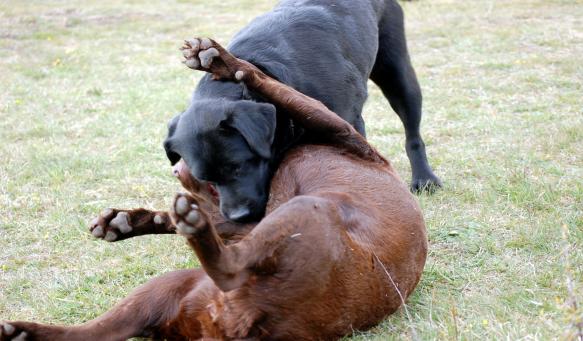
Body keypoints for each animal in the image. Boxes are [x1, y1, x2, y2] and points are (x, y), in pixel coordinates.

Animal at [1, 38, 428, 338]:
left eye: (237, 166)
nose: (182, 168)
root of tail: (241, 318)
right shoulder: (249, 216)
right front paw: (132, 220)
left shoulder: (327, 126)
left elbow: (269, 83)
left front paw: (224, 61)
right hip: (170, 291)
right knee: (94, 333)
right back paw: (23, 332)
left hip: (306, 213)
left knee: (230, 265)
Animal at [162, 0, 440, 222]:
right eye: (206, 179)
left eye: (238, 166)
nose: (238, 217)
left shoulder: (349, 121)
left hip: (397, 74)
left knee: (413, 134)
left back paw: (424, 178)